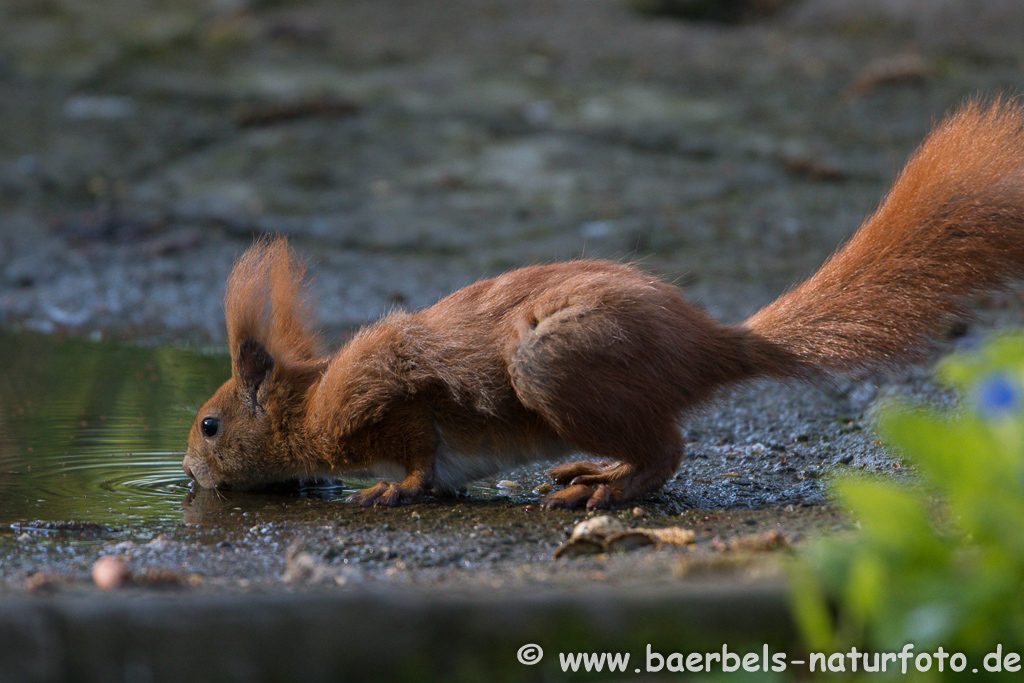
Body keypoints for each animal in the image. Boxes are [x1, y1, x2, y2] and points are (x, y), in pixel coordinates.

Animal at [186, 100, 1024, 507]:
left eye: (209, 424)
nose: (188, 474)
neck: (310, 403)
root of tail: (711, 343)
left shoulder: (380, 393)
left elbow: (421, 449)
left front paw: (397, 487)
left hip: (552, 362)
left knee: (668, 450)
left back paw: (606, 490)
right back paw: (595, 469)